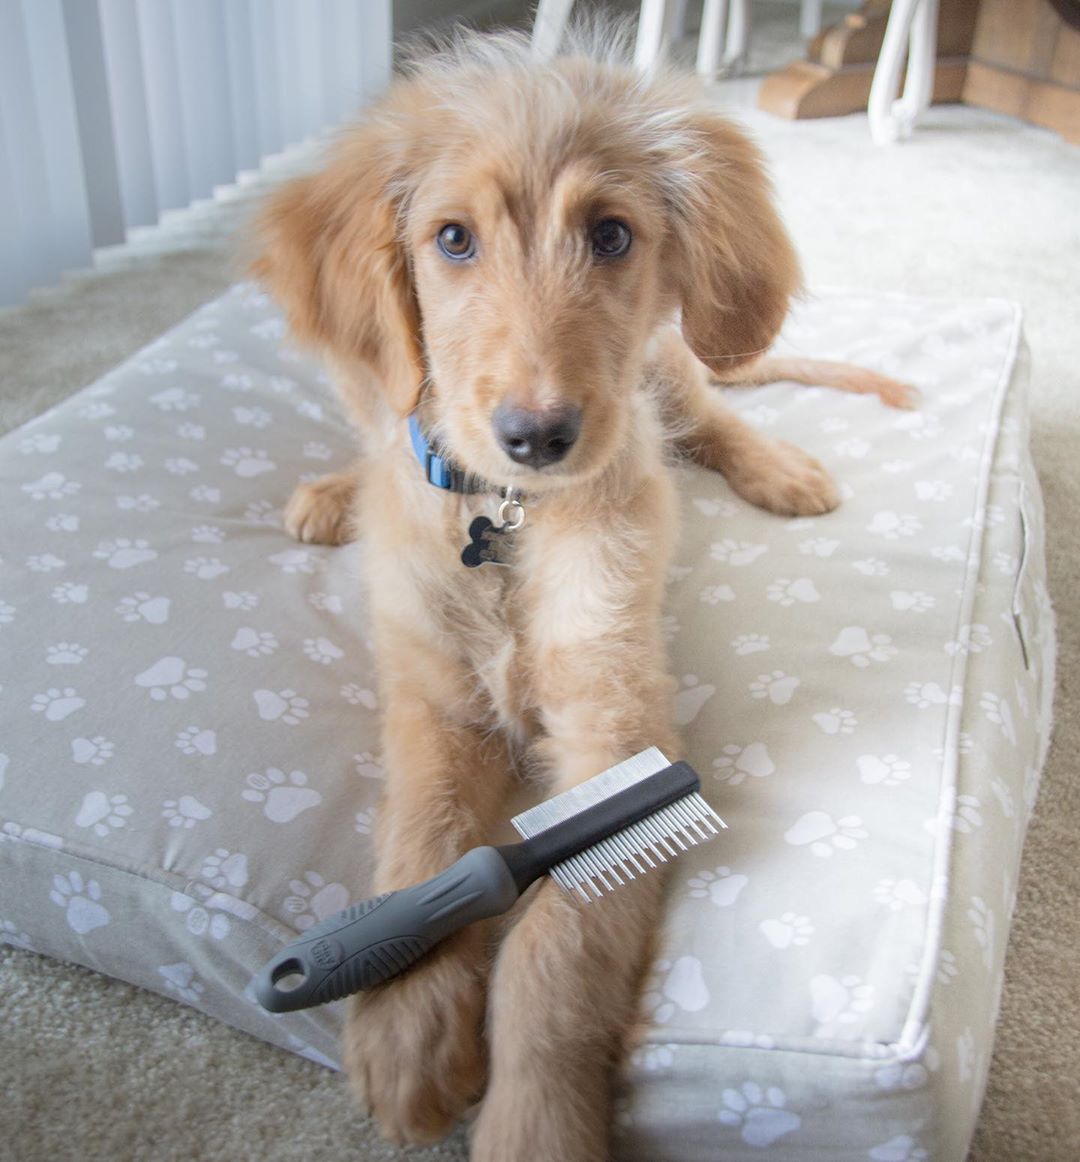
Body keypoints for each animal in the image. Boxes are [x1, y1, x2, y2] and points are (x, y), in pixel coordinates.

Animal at [251, 27, 911, 1162]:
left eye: (610, 236)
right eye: (453, 239)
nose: (538, 436)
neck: (509, 520)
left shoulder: (618, 722)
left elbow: (561, 939)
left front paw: (535, 1118)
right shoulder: (433, 701)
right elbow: (428, 838)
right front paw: (406, 1023)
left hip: (673, 362)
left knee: (709, 411)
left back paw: (778, 465)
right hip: (372, 383)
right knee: (377, 409)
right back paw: (334, 492)